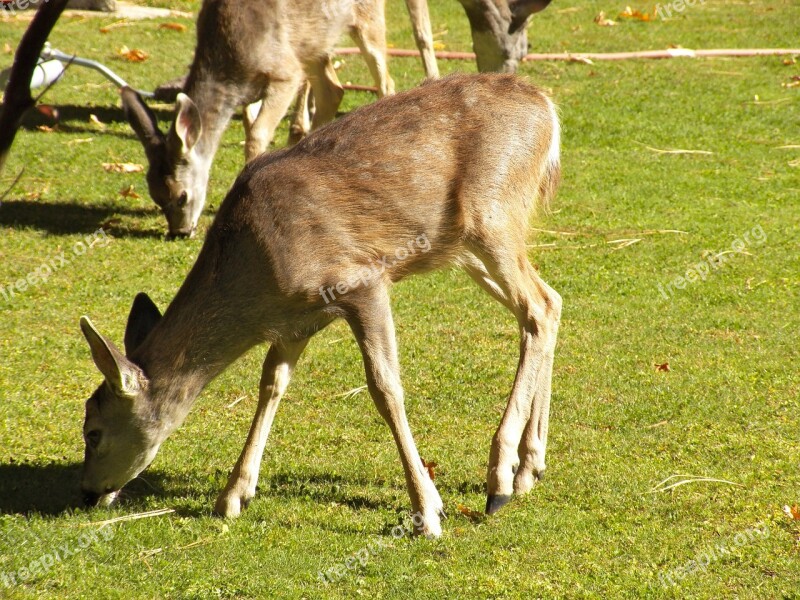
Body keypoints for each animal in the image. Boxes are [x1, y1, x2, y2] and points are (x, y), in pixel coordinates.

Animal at [78, 72, 560, 536]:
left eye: (92, 431)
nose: (87, 493)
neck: (259, 276)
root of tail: (548, 111)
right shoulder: (298, 319)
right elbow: (271, 383)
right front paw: (233, 495)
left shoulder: (362, 280)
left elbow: (385, 388)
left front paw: (428, 511)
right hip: (464, 247)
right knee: (549, 302)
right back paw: (529, 468)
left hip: (493, 216)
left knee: (536, 308)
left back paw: (499, 480)